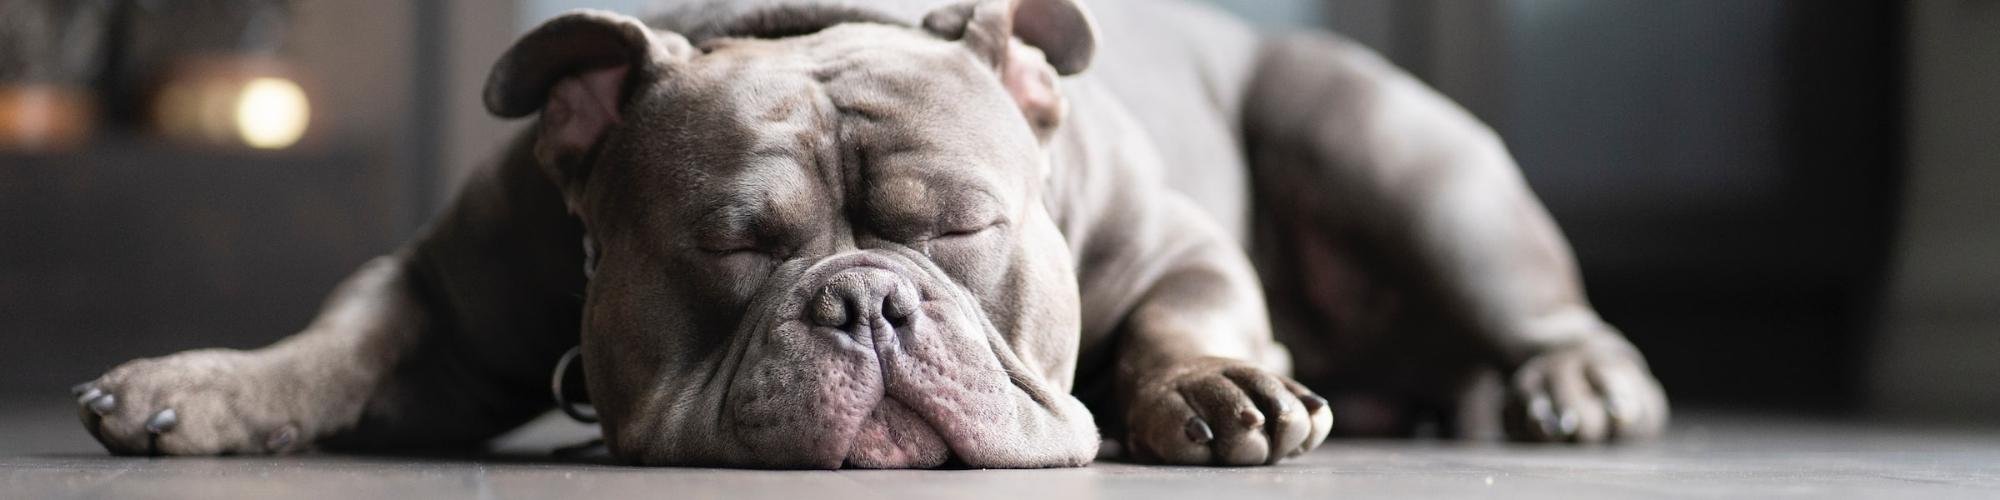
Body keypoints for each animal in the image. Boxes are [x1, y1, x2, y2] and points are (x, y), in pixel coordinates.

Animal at [74, 0, 1672, 468]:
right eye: (730, 245)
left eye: (959, 229)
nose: (867, 304)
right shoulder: (444, 295)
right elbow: (343, 336)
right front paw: (199, 385)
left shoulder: (1179, 251)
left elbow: (1182, 317)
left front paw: (1216, 393)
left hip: (1389, 142)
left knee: (1543, 307)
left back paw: (1575, 384)